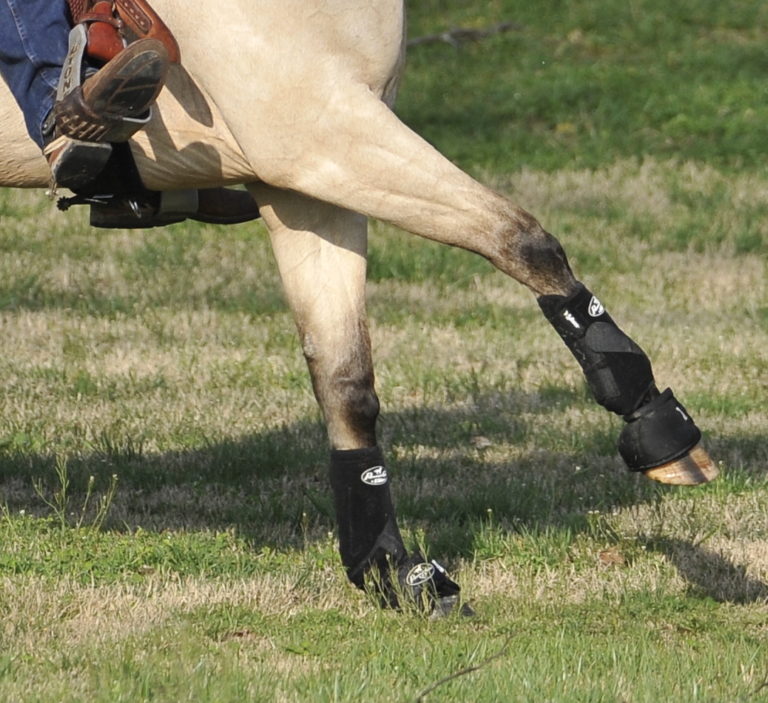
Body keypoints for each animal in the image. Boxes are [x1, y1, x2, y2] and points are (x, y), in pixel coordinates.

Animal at [0, 0, 717, 613]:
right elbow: (519, 238)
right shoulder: (328, 137)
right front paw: (656, 422)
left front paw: (390, 568)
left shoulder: (310, 185)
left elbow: (346, 382)